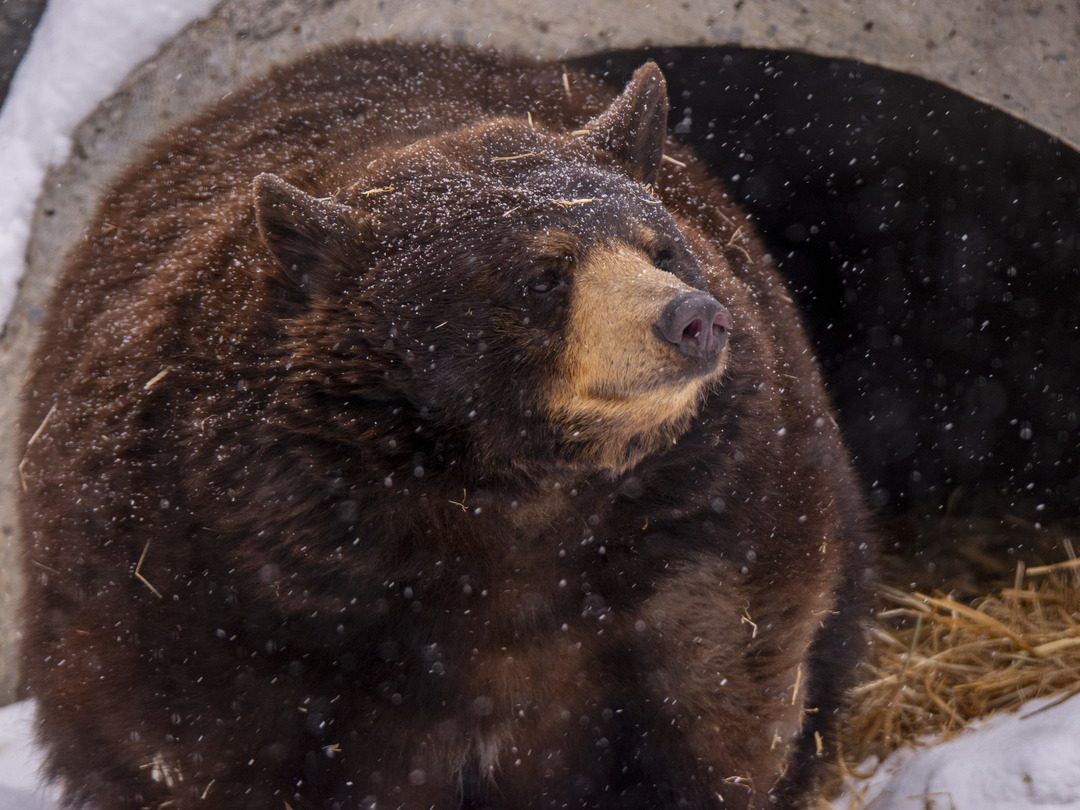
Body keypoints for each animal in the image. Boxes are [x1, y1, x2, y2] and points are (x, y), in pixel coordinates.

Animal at [18, 42, 873, 810]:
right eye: (542, 275)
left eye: (663, 248)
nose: (693, 319)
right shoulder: (233, 600)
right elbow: (220, 751)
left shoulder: (703, 548)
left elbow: (717, 713)